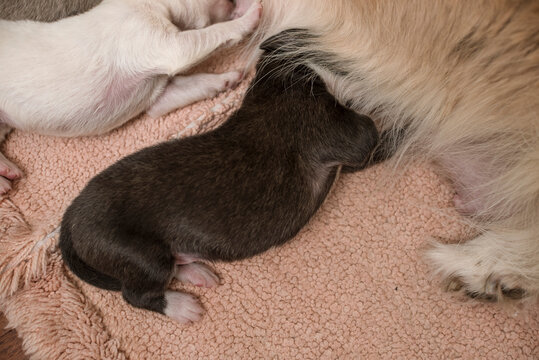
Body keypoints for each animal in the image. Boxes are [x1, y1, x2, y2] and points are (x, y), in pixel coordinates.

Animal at [0, 0, 264, 193]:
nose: (238, 2)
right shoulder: (159, 39)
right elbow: (208, 34)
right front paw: (252, 13)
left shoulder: (159, 93)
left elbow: (188, 85)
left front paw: (228, 79)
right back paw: (5, 181)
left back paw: (6, 172)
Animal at [60, 31, 380, 324]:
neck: (277, 76)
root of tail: (72, 213)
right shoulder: (348, 132)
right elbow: (369, 132)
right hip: (140, 254)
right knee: (136, 294)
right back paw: (182, 306)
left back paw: (196, 271)